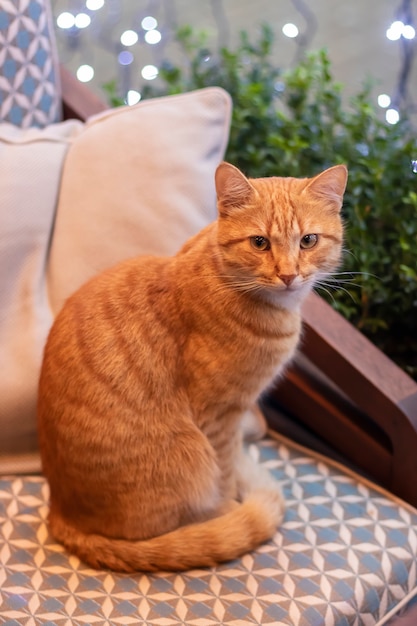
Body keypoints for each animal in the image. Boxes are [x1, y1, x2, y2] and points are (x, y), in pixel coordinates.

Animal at [37, 161, 346, 572]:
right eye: (259, 243)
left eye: (308, 241)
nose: (288, 274)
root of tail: (61, 512)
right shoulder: (220, 415)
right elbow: (226, 473)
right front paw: (230, 506)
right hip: (192, 452)